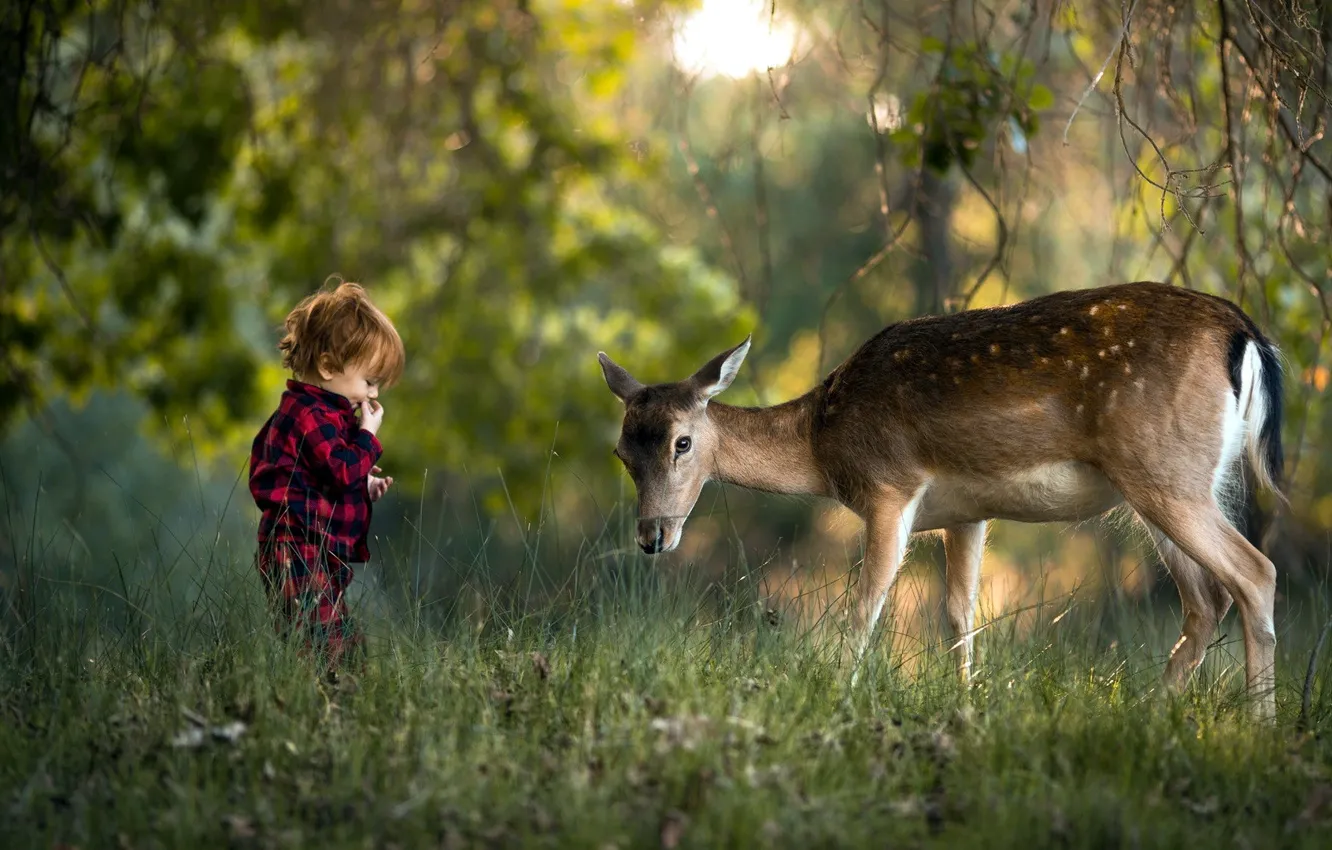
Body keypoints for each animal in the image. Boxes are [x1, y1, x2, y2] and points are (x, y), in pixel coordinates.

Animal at [597, 281, 1286, 719]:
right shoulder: (968, 511)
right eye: (622, 453)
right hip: (1170, 483)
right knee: (1207, 599)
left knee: (1255, 572)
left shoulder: (890, 486)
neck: (823, 442)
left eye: (683, 442)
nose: (652, 536)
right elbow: (960, 616)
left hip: (1165, 471)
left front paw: (838, 698)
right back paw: (1148, 715)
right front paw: (967, 707)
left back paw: (1258, 730)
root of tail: (1247, 335)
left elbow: (866, 608)